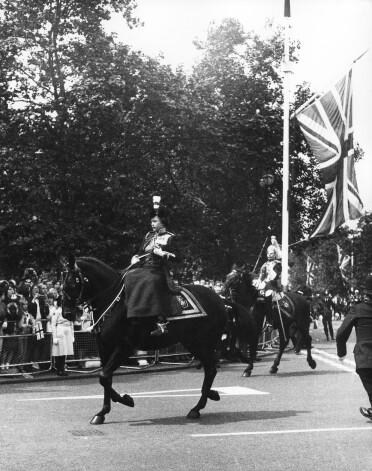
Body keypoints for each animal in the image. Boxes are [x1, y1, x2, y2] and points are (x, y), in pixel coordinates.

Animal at [62, 256, 258, 426]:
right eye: (63, 283)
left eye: (73, 283)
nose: (67, 314)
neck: (114, 304)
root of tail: (221, 299)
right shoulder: (104, 349)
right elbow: (105, 378)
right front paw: (102, 412)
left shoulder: (124, 348)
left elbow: (103, 377)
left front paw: (126, 400)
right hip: (194, 344)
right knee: (211, 367)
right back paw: (210, 395)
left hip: (203, 343)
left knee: (211, 369)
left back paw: (197, 407)